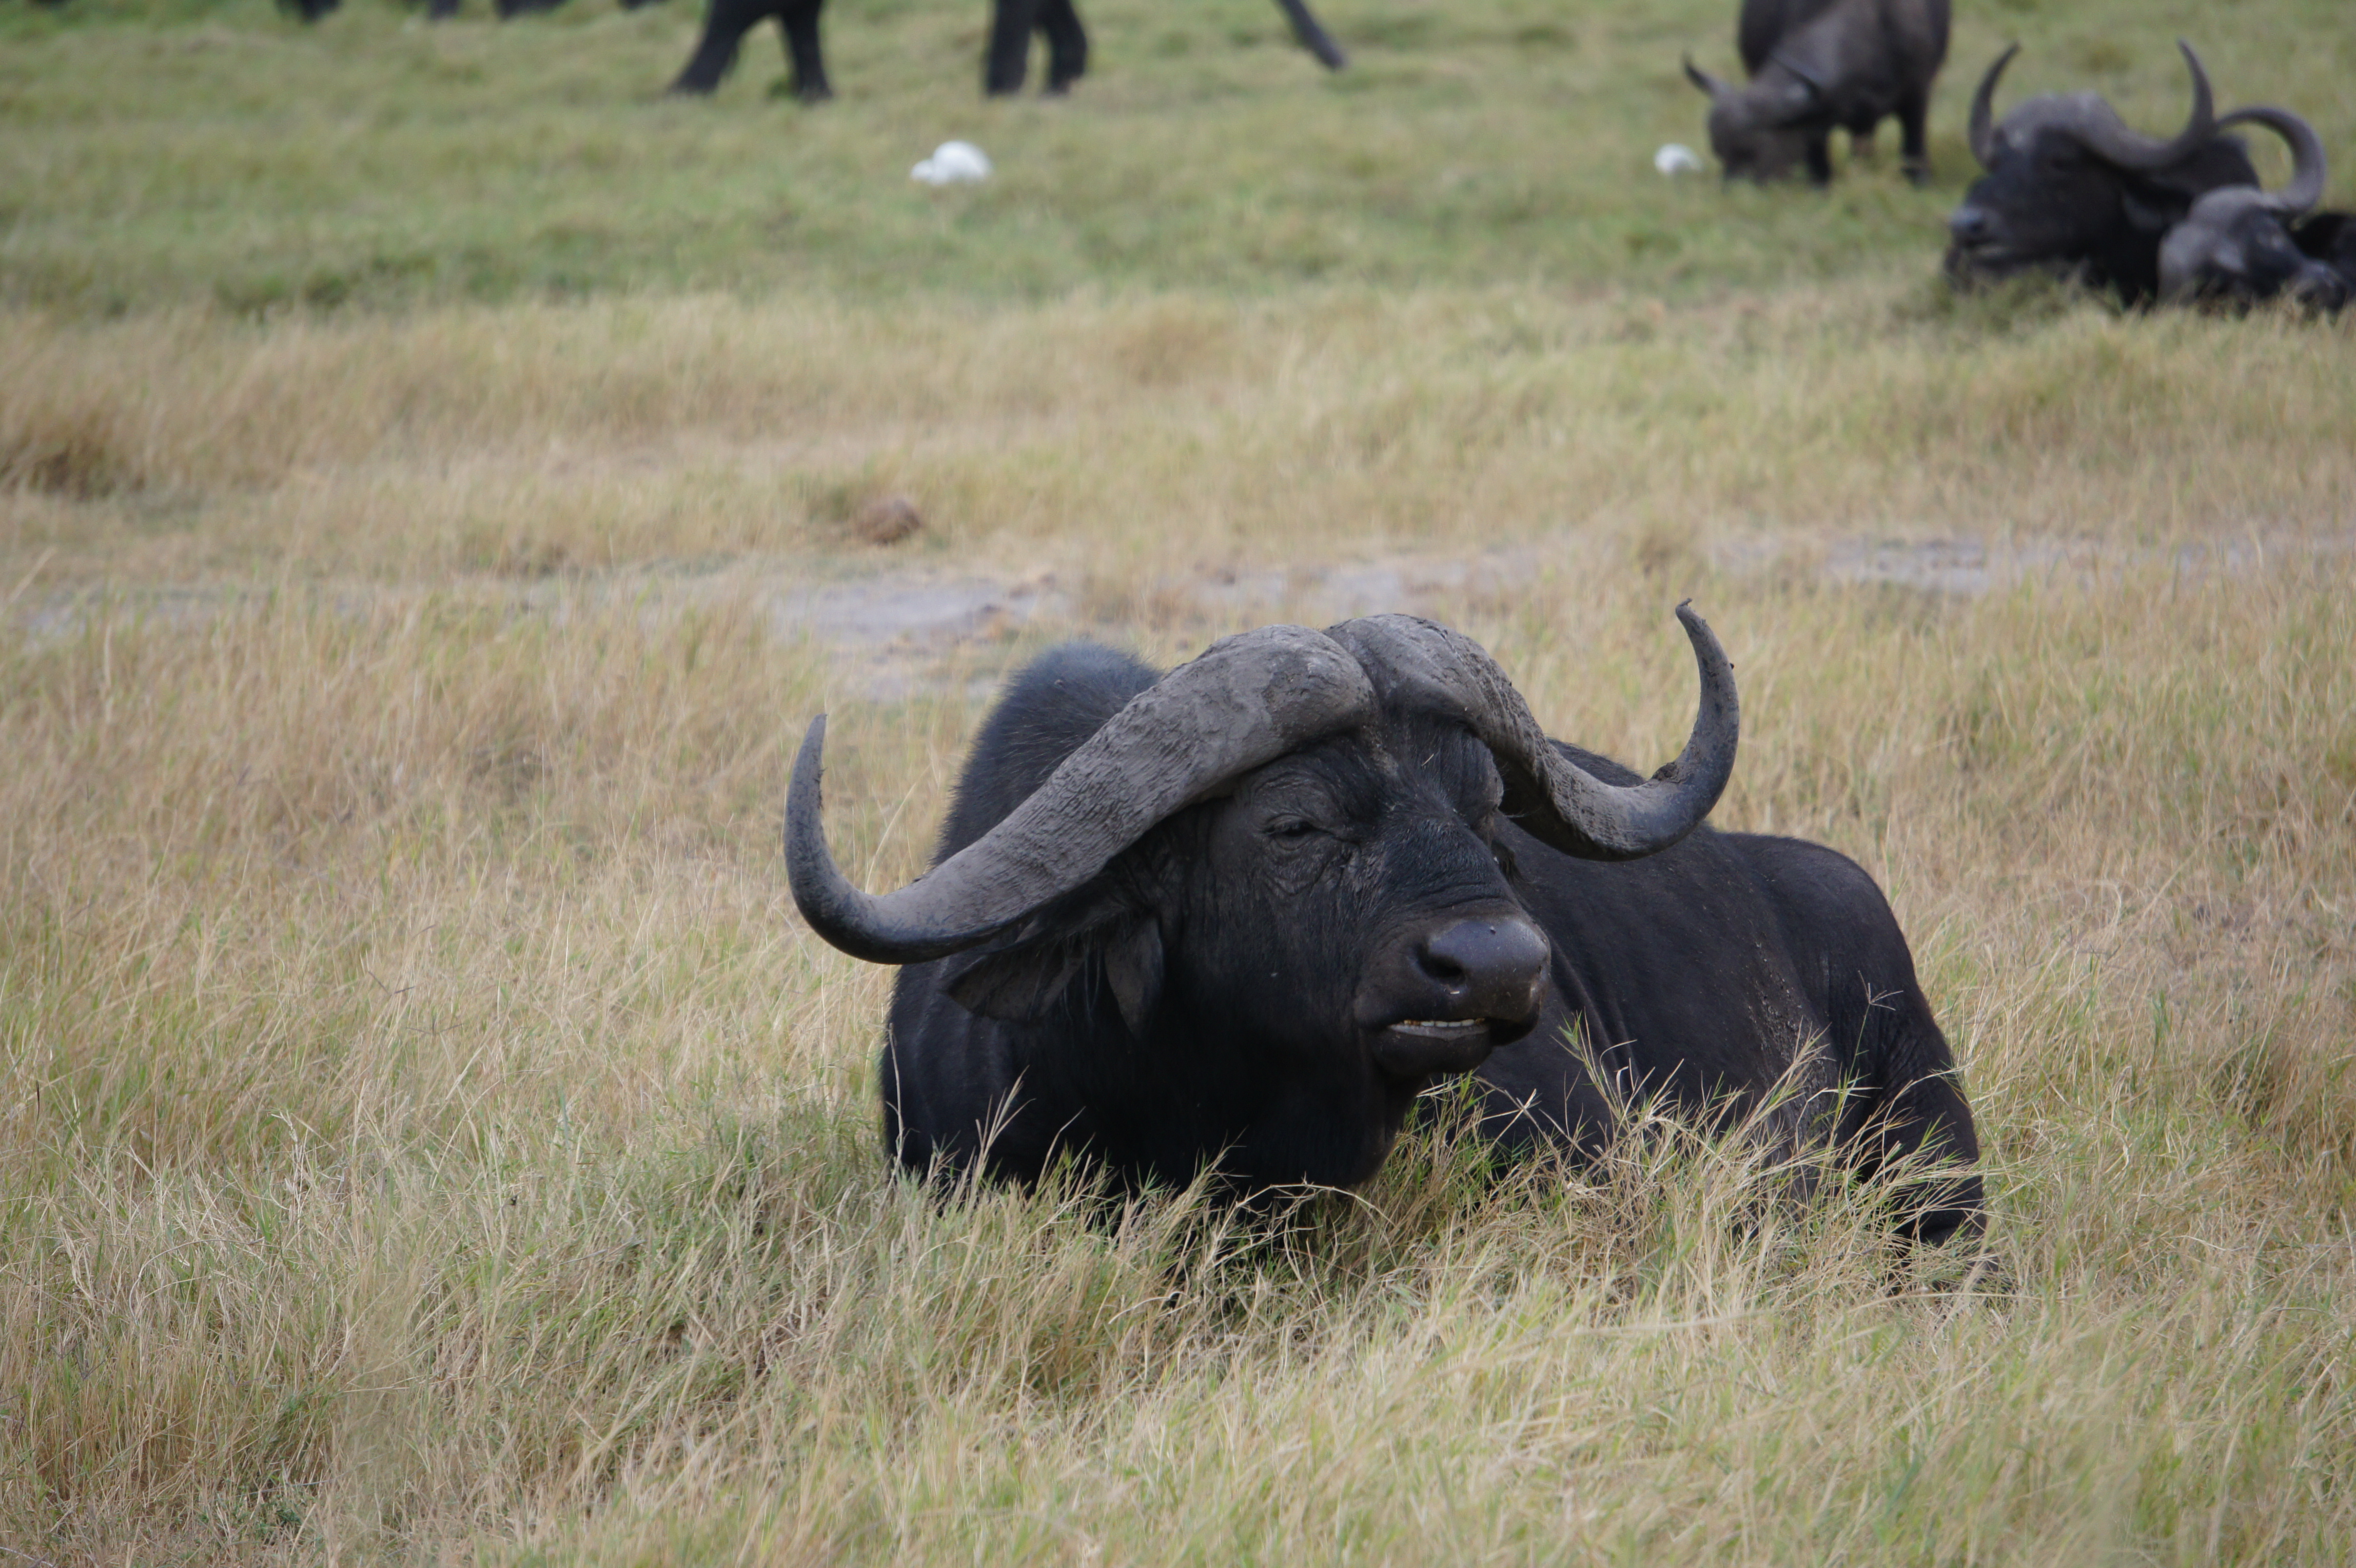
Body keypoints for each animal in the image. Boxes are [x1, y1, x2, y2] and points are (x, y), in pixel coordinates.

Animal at [1686, 0, 1960, 186]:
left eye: (1752, 151)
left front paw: (1921, 182)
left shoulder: (1917, 94)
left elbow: (1914, 147)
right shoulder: (1818, 121)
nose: (1732, 192)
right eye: (1719, 152)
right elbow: (1818, 163)